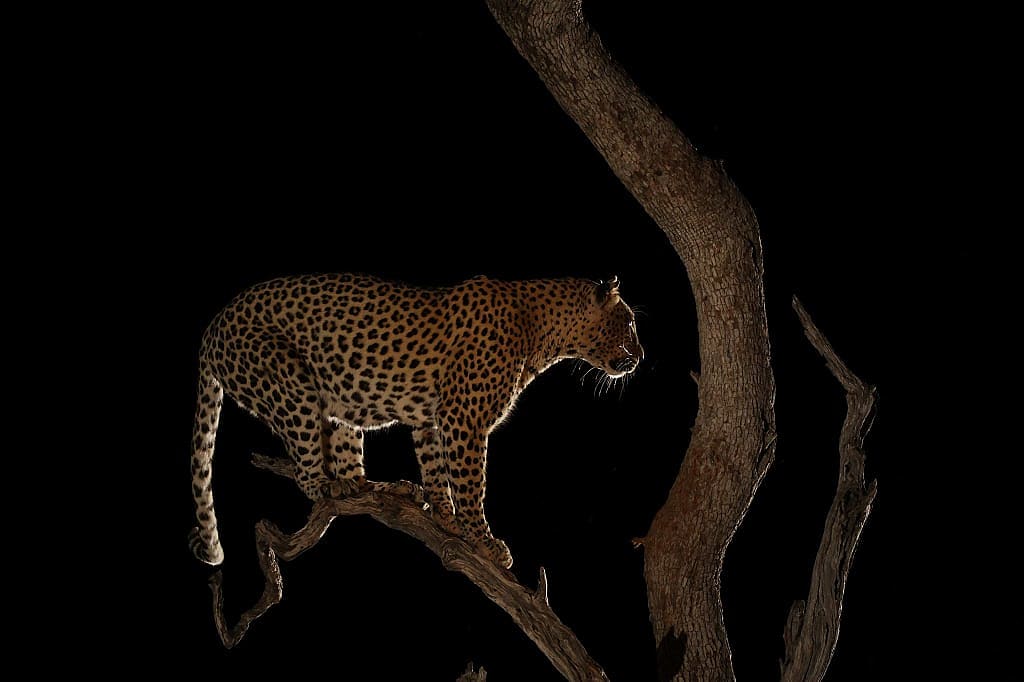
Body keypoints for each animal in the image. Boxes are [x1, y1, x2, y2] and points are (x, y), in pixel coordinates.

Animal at [188, 273, 643, 569]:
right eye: (630, 323)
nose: (640, 357)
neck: (544, 334)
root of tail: (211, 329)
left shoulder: (436, 420)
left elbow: (439, 471)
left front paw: (446, 518)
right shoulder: (465, 419)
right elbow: (472, 483)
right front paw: (483, 540)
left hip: (336, 400)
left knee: (349, 461)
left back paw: (383, 487)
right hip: (289, 382)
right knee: (305, 471)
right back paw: (328, 485)